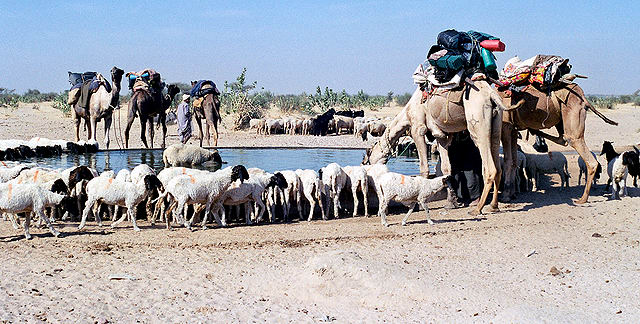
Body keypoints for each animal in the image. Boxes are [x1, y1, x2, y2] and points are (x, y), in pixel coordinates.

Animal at [362, 78, 508, 215]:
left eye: (367, 159)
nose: (368, 168)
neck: (408, 112)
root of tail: (491, 95)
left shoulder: (418, 130)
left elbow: (424, 168)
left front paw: (420, 204)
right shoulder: (440, 136)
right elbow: (446, 168)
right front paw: (451, 202)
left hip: (477, 122)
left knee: (490, 168)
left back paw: (477, 209)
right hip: (496, 125)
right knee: (499, 166)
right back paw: (493, 206)